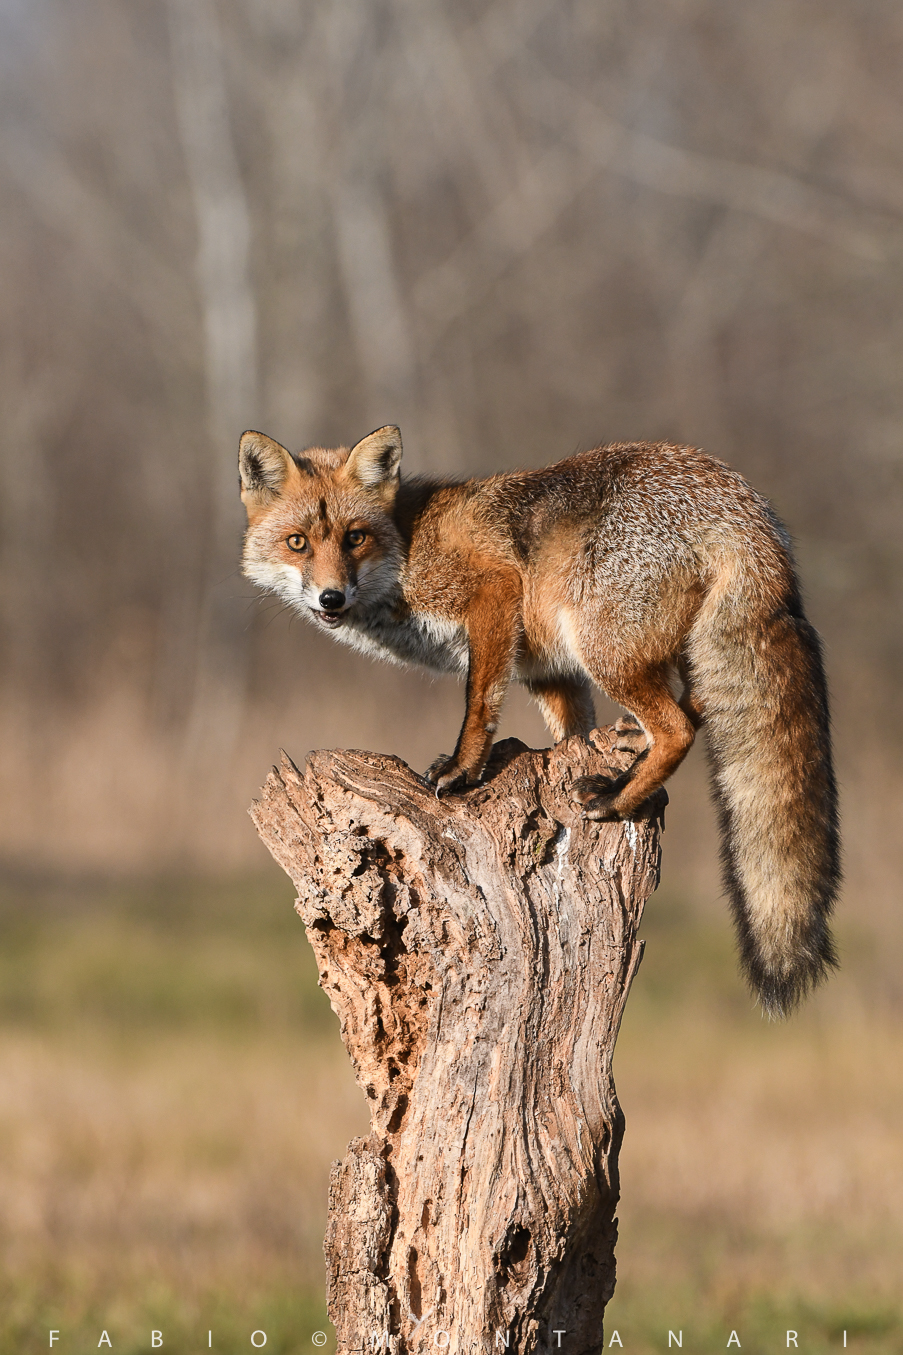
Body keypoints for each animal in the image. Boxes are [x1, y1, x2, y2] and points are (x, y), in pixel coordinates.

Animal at [239, 423, 840, 1016]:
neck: (408, 545)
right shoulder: (547, 667)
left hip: (604, 646)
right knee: (696, 704)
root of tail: (740, 499)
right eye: (298, 542)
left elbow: (478, 704)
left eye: (354, 537)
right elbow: (573, 731)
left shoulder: (493, 594)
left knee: (681, 727)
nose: (331, 596)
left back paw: (617, 798)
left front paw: (462, 770)